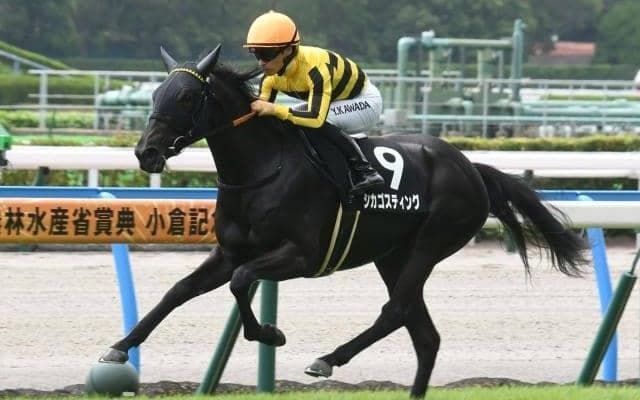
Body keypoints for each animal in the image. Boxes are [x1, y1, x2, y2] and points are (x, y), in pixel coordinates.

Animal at [99, 45, 588, 398]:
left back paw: (328, 359)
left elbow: (241, 283)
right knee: (424, 334)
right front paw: (119, 347)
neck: (262, 169)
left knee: (396, 312)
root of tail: (470, 166)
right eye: (154, 95)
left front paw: (271, 334)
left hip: (430, 243)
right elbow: (179, 291)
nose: (146, 152)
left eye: (185, 96)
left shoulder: (300, 256)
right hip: (392, 255)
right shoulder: (230, 252)